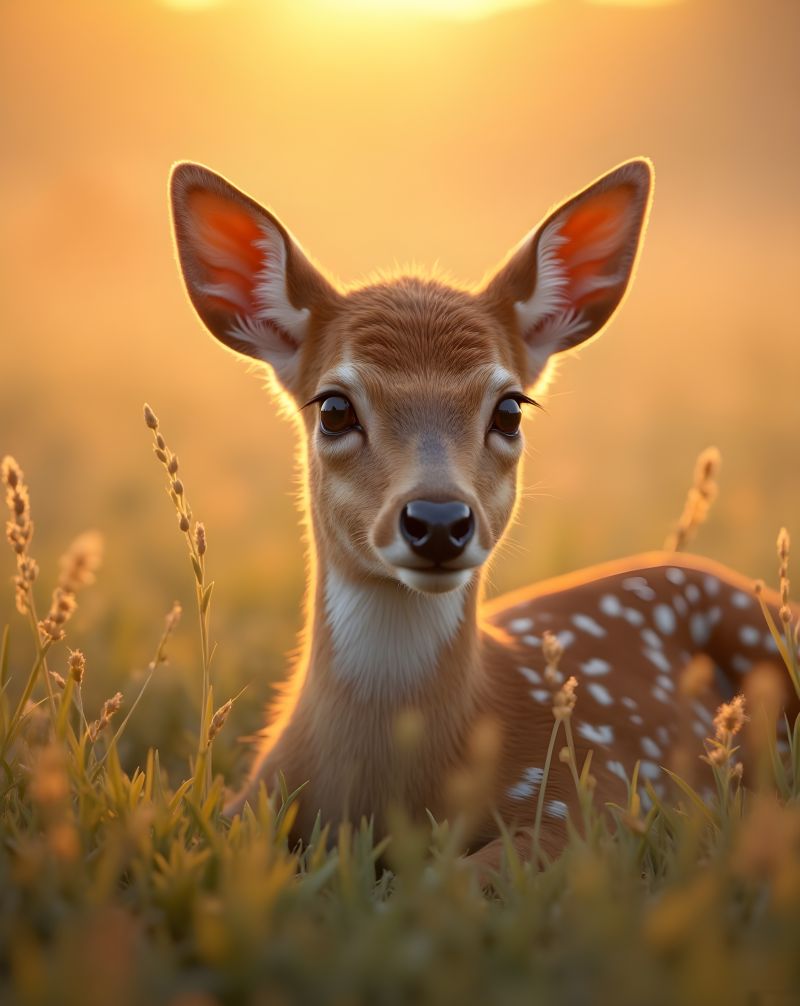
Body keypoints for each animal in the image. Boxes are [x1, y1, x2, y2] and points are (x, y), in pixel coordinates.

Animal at [169, 158, 794, 869]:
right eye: (333, 407)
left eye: (510, 408)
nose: (438, 520)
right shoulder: (249, 800)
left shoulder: (595, 798)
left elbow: (479, 875)